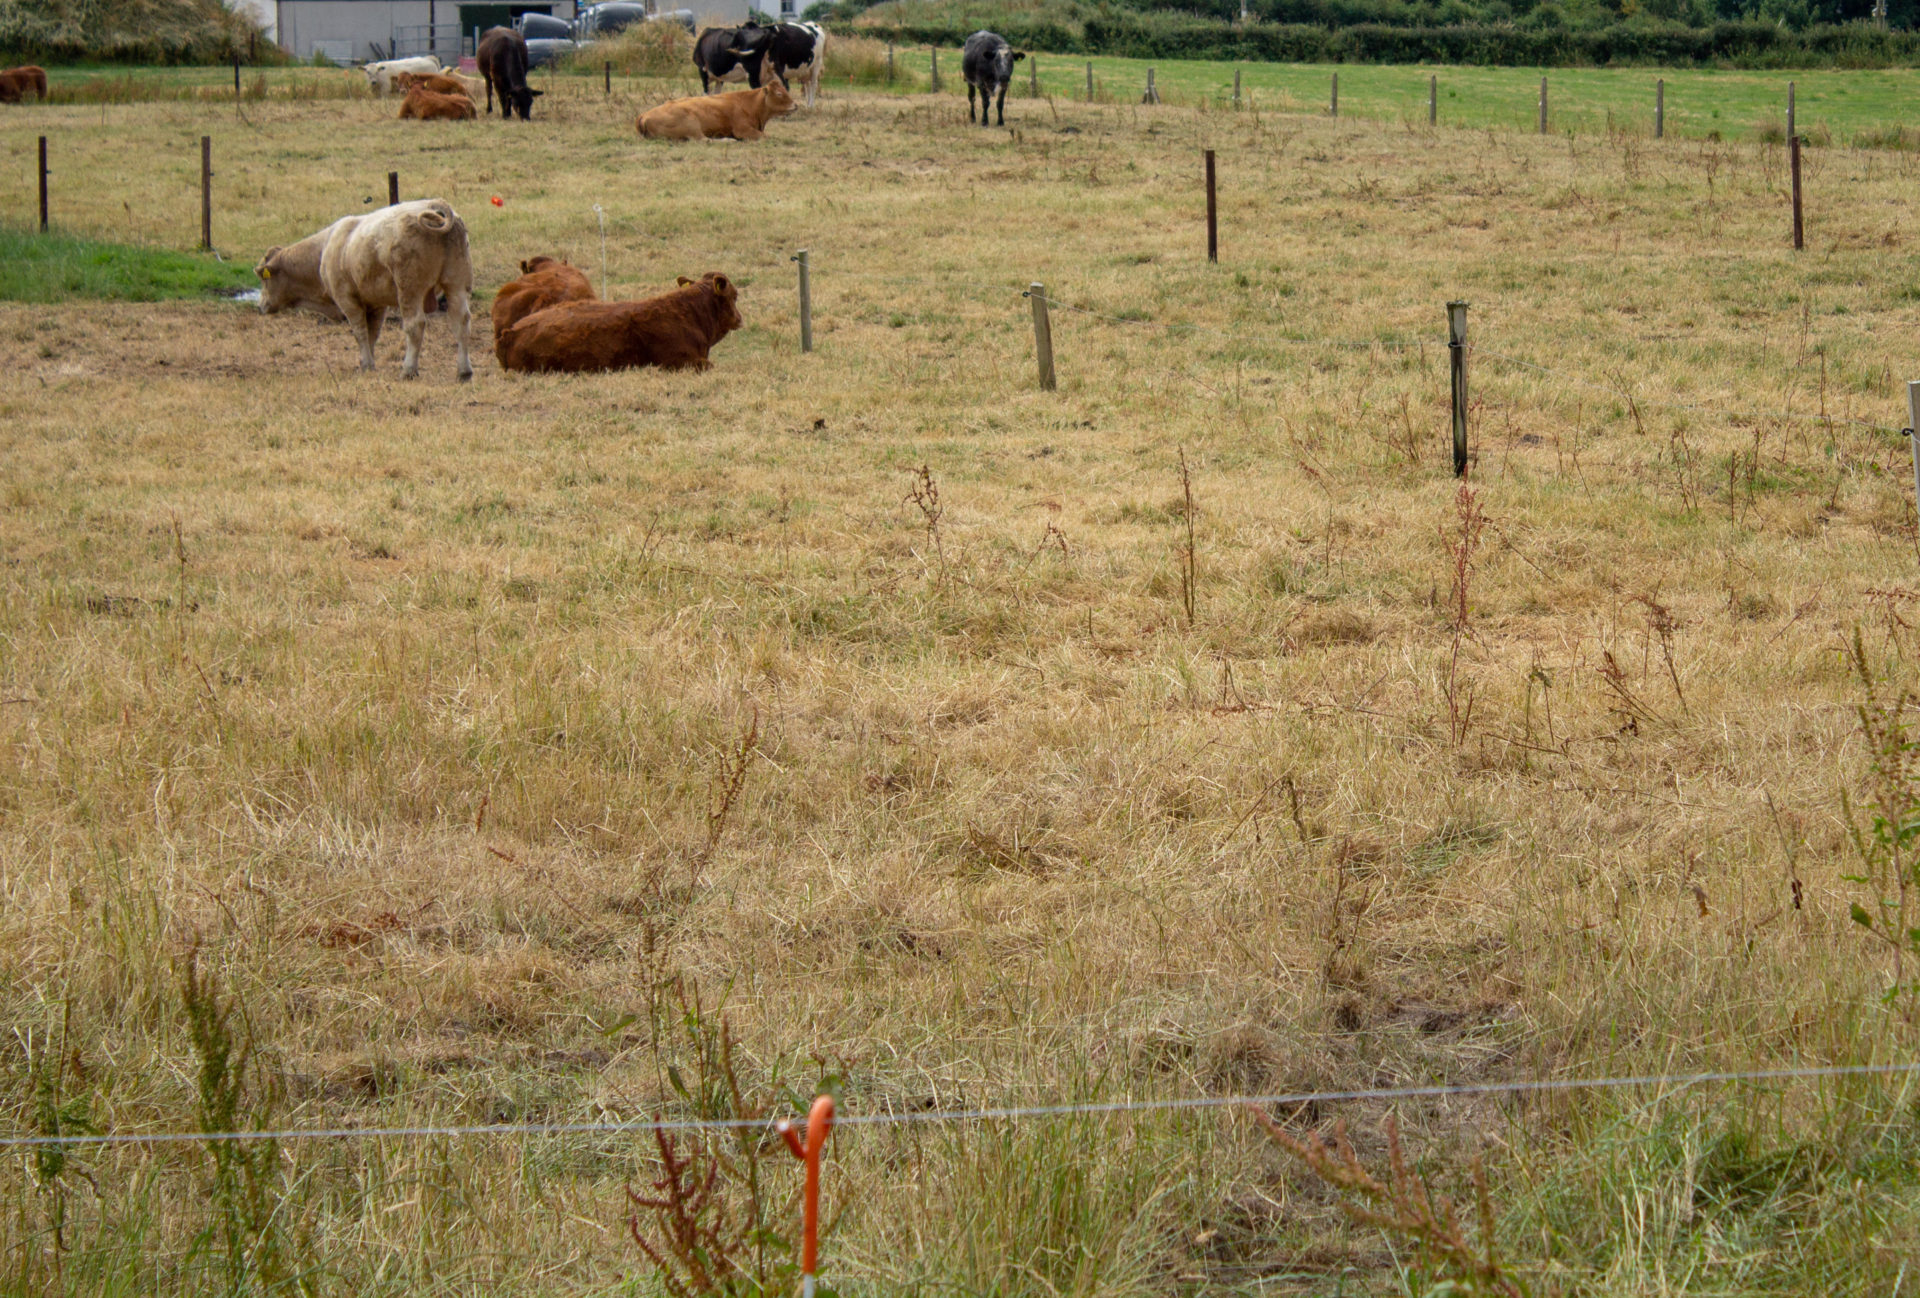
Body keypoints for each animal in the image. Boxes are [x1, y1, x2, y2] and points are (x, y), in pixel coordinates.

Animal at [255, 199, 473, 381]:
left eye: (264, 280)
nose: (260, 306)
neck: (325, 249)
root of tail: (432, 206)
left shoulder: (347, 300)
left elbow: (359, 332)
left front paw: (367, 364)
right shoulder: (376, 304)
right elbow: (372, 333)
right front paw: (369, 361)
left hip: (410, 290)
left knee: (415, 325)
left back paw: (408, 370)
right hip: (456, 284)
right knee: (460, 321)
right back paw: (464, 371)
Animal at [637, 73, 794, 141]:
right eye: (779, 93)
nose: (795, 105)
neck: (748, 103)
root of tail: (644, 116)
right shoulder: (742, 130)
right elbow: (766, 136)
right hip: (692, 124)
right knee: (704, 139)